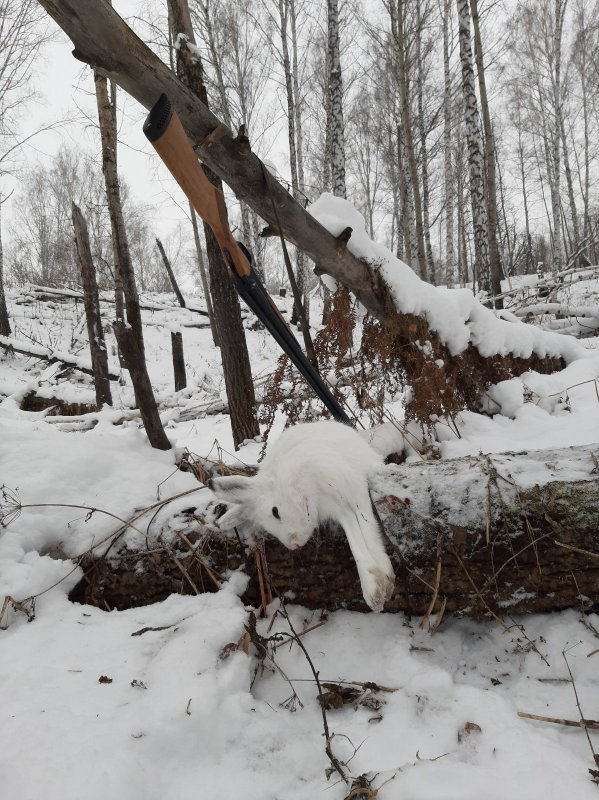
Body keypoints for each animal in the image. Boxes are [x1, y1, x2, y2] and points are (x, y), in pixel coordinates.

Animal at [209, 420, 395, 612]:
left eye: (275, 511)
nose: (295, 545)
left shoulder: (351, 490)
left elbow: (366, 527)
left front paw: (379, 589)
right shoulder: (338, 509)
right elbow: (354, 535)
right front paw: (376, 587)